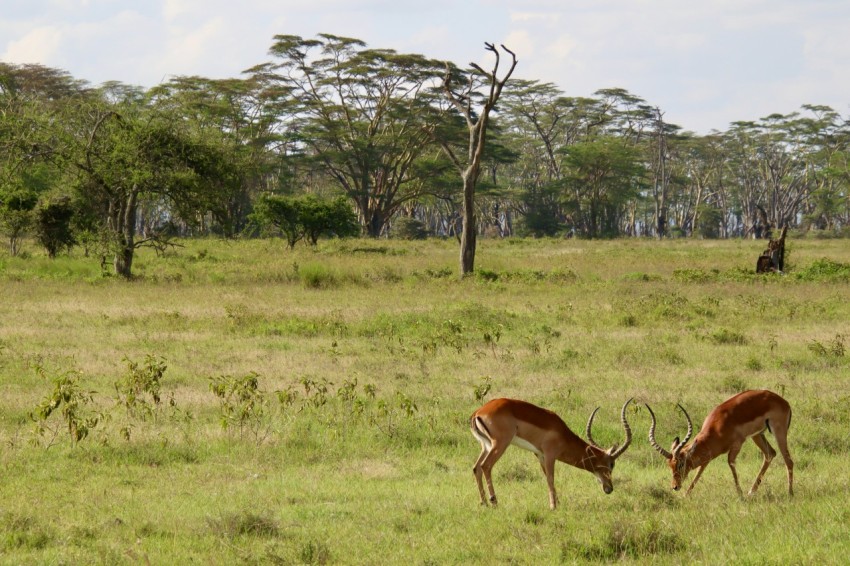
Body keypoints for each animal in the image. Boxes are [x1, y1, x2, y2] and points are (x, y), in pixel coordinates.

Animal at [468, 400, 632, 510]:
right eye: (611, 464)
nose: (609, 488)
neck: (562, 434)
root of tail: (478, 412)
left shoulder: (540, 455)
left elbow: (547, 477)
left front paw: (557, 503)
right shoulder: (550, 456)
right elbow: (551, 478)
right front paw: (553, 506)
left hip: (486, 446)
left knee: (476, 468)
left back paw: (483, 502)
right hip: (500, 444)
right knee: (486, 466)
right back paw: (494, 501)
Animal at [644, 392, 792, 500]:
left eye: (680, 464)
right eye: (670, 465)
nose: (675, 486)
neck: (717, 427)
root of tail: (784, 402)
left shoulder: (737, 444)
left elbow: (731, 463)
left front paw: (740, 494)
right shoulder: (708, 457)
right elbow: (699, 472)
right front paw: (686, 495)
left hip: (778, 432)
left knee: (788, 460)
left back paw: (790, 493)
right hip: (758, 435)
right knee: (770, 454)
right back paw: (751, 491)